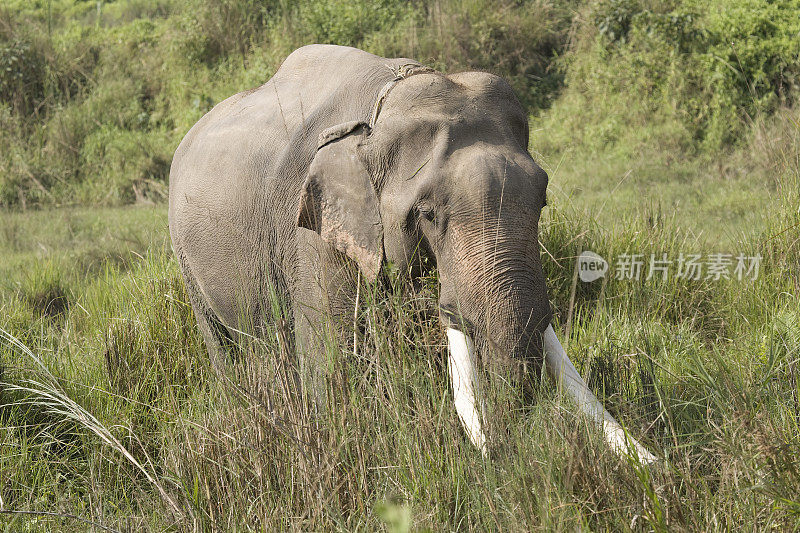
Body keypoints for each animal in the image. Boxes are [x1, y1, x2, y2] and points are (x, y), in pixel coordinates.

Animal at [169, 44, 656, 462]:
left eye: (543, 198)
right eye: (427, 212)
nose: (508, 451)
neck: (384, 103)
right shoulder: (311, 233)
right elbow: (333, 364)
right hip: (183, 256)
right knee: (223, 346)